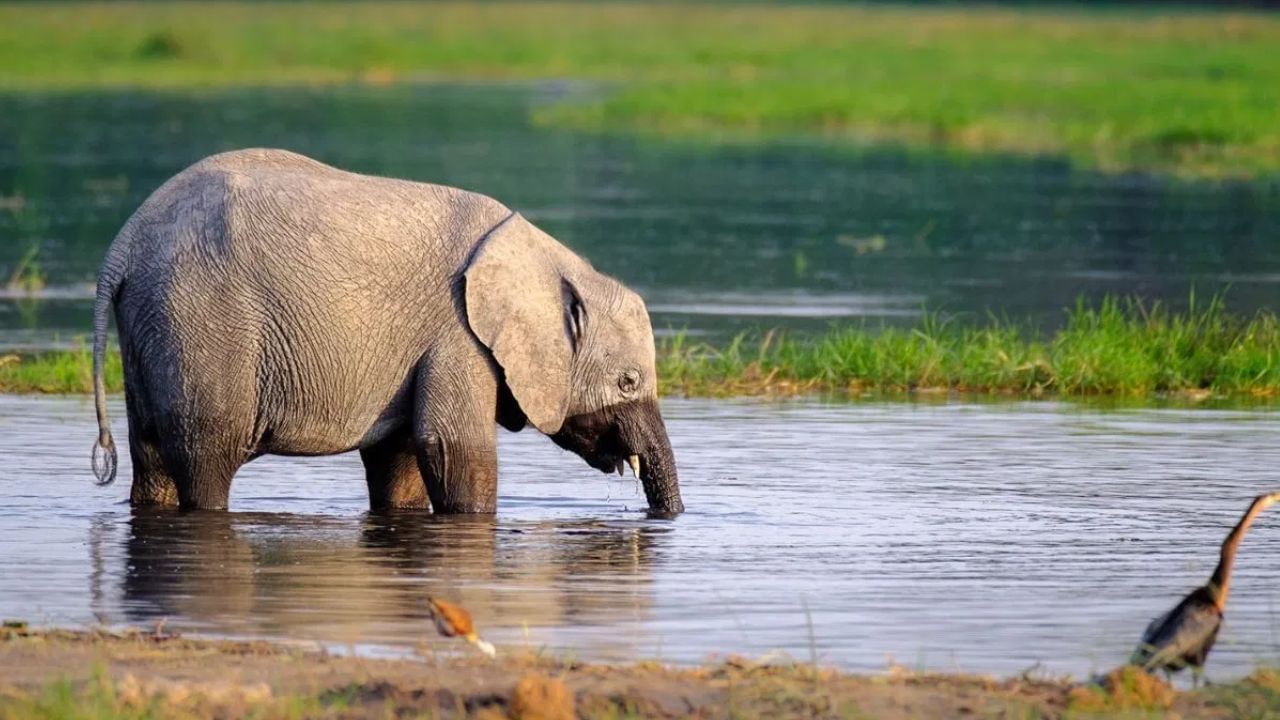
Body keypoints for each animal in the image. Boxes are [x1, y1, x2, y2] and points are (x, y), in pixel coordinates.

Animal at [91, 148, 686, 512]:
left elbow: (400, 462)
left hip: (154, 322)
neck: (548, 260)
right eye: (629, 382)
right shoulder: (457, 334)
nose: (665, 520)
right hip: (202, 322)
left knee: (153, 462)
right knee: (208, 457)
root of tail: (123, 245)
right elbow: (453, 447)